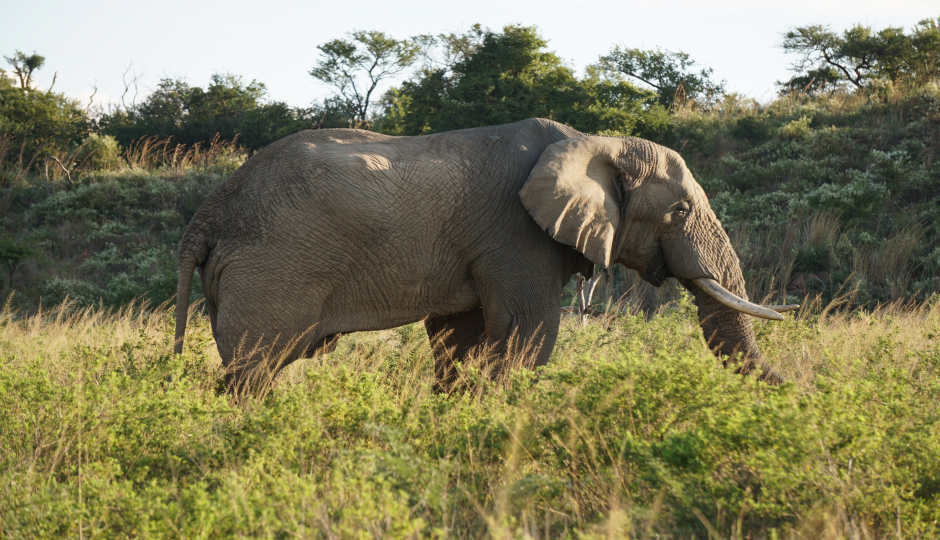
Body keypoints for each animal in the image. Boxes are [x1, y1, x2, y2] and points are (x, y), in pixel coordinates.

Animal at [174, 118, 792, 390]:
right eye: (682, 212)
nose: (798, 392)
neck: (592, 140)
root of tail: (203, 218)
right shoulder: (516, 235)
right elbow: (527, 333)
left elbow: (458, 336)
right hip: (272, 268)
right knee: (253, 369)